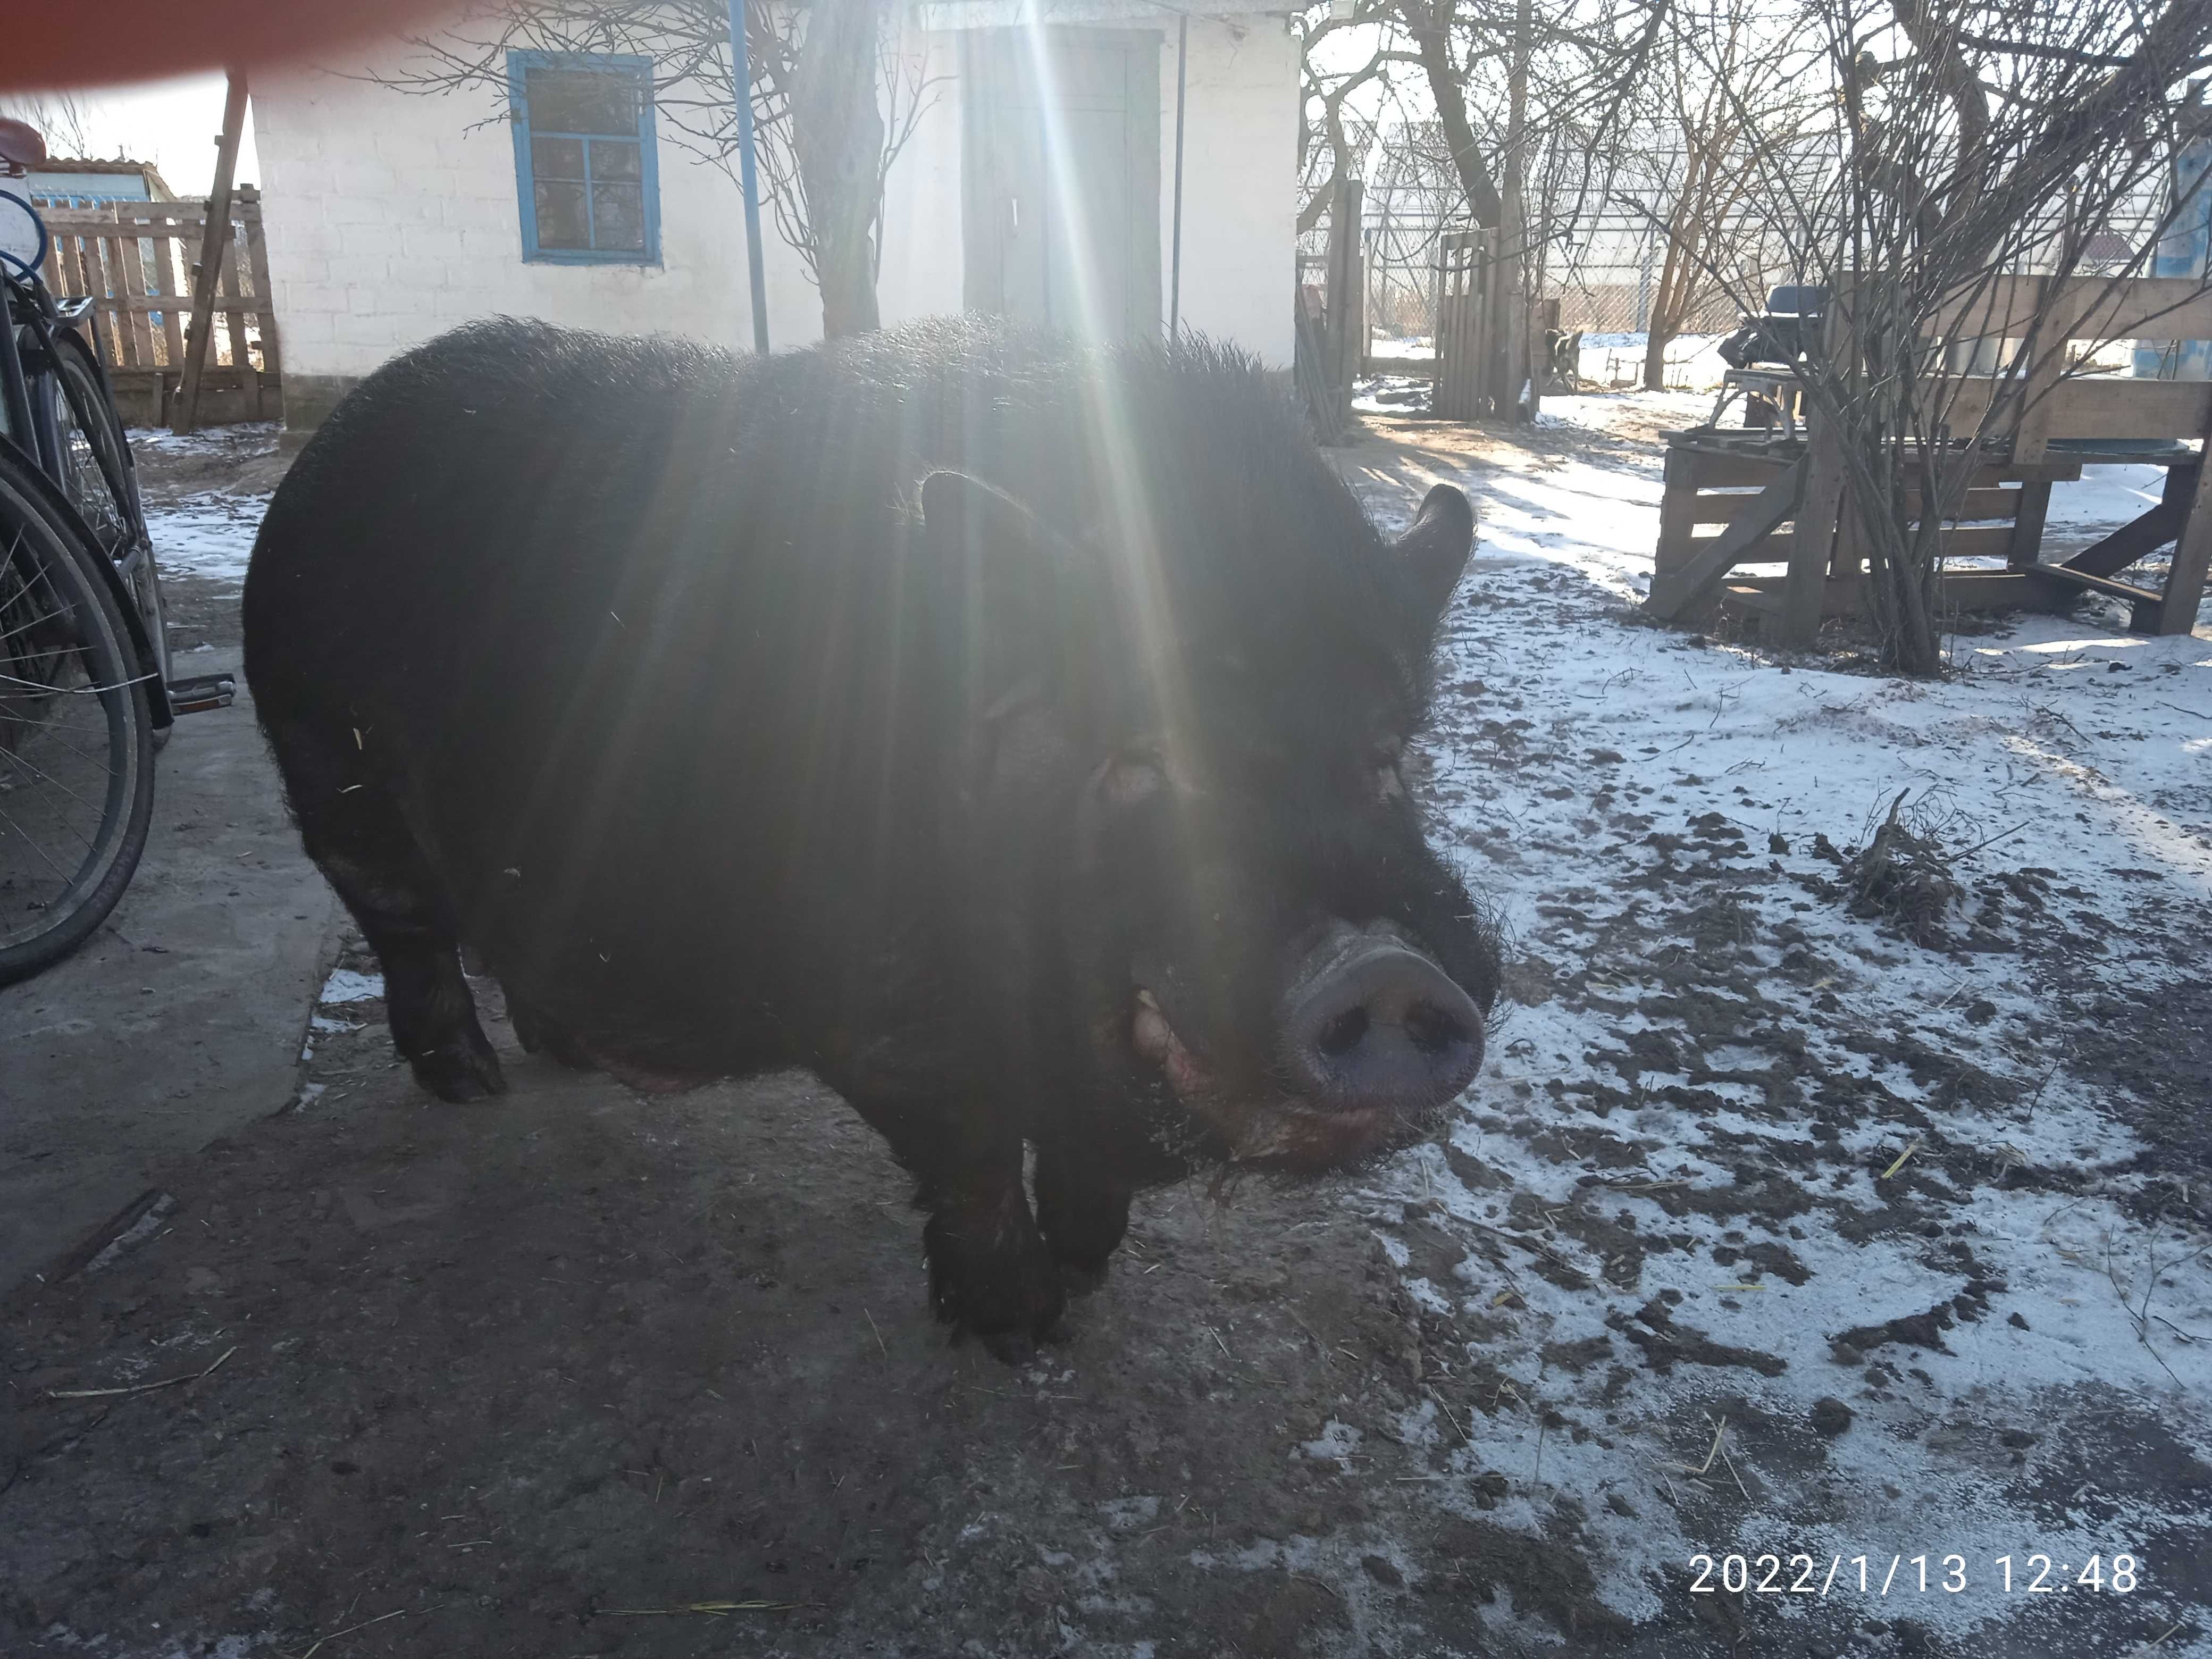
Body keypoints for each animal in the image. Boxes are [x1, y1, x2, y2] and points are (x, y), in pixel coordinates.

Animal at [246, 319, 1504, 1353]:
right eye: (1138, 760)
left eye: (1387, 755)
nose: (1387, 967)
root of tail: (314, 462)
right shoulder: (886, 1013)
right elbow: (976, 1153)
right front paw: (1021, 1330)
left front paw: (1091, 1267)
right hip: (331, 771)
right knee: (405, 927)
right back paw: (472, 1088)